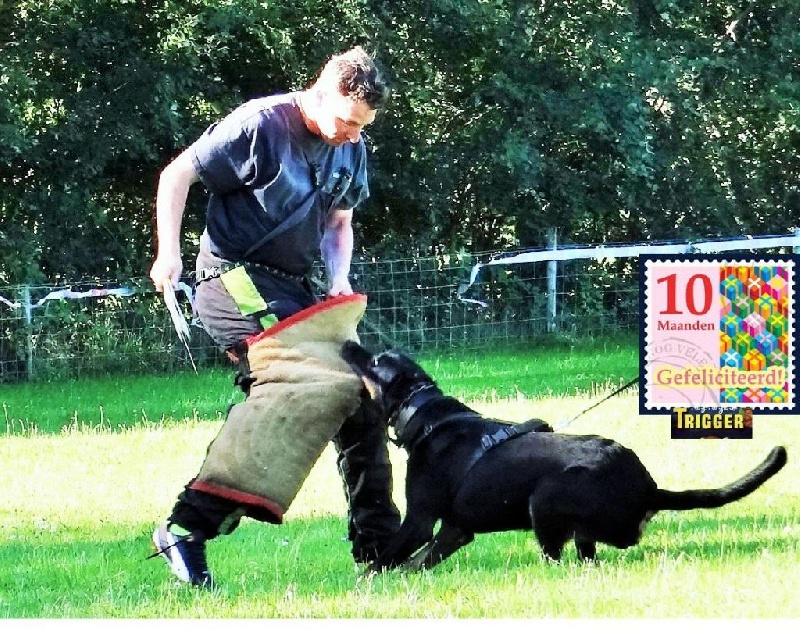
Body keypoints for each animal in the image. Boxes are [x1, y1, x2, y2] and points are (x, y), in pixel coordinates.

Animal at [340, 344, 788, 572]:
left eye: (375, 361)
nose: (348, 343)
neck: (426, 415)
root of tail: (649, 488)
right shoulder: (455, 529)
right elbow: (419, 561)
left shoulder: (419, 519)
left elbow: (388, 557)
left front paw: (367, 582)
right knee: (585, 557)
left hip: (546, 496)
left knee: (558, 558)